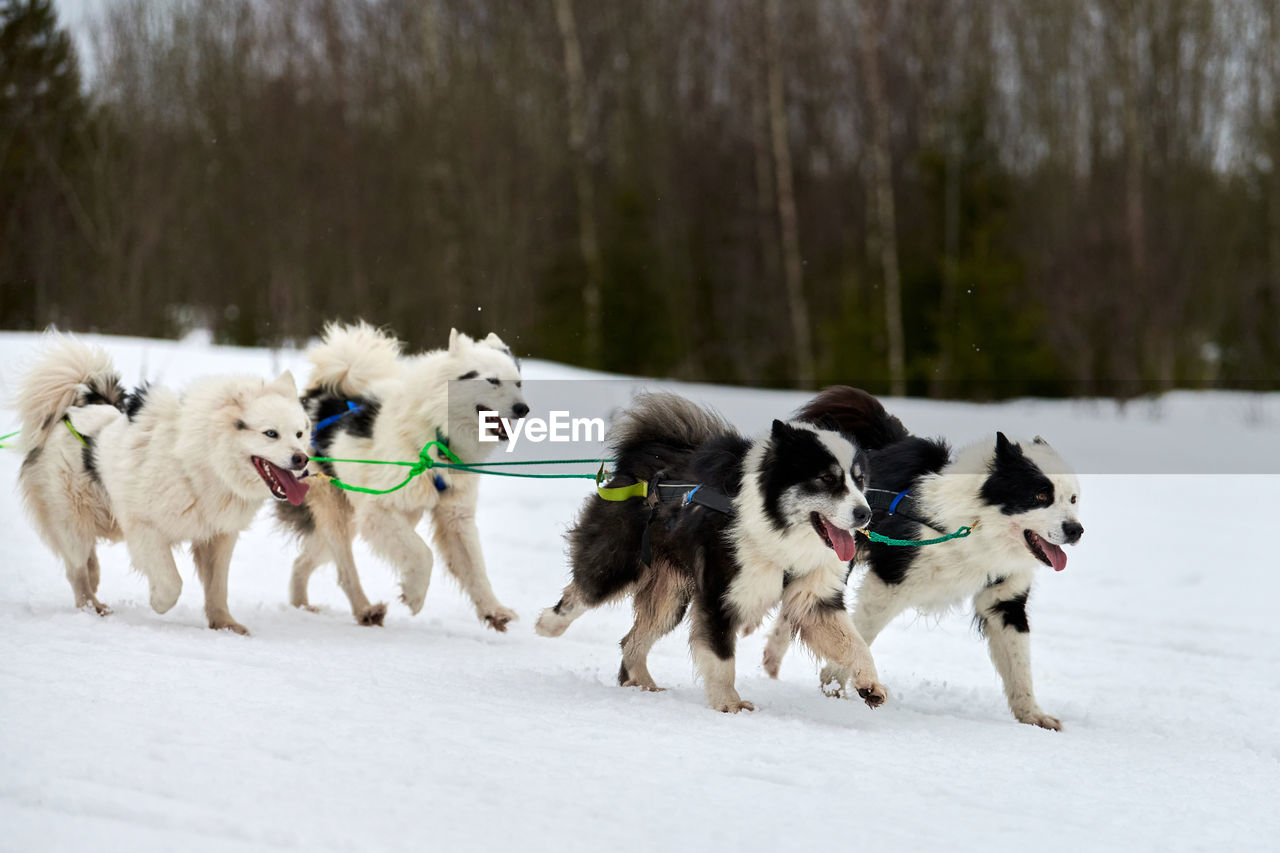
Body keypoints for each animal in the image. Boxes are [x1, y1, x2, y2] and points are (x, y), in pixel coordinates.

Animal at [19, 333, 312, 630]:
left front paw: (224, 624)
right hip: (71, 520)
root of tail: (69, 413)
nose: (302, 459)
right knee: (76, 569)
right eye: (271, 433)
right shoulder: (145, 527)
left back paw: (95, 578)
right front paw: (158, 603)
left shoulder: (218, 537)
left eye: (300, 433)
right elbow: (172, 583)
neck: (202, 465)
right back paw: (92, 606)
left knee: (85, 563)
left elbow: (218, 587)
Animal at [277, 322, 527, 627]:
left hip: (351, 522)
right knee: (346, 571)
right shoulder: (378, 510)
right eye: (492, 380)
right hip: (338, 516)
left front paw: (494, 610)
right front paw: (414, 594)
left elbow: (475, 570)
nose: (523, 409)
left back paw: (301, 605)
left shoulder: (455, 517)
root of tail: (319, 396)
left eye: (518, 382)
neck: (435, 436)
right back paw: (365, 610)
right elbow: (423, 554)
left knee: (302, 561)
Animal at [532, 391, 890, 712]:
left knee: (632, 639)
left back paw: (643, 683)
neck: (775, 527)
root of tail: (645, 453)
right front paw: (728, 703)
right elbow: (721, 658)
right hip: (618, 563)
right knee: (582, 591)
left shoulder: (815, 599)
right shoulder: (721, 594)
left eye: (859, 480)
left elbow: (855, 644)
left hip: (670, 596)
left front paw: (870, 683)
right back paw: (547, 625)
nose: (865, 514)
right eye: (826, 478)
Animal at [762, 384, 1085, 722]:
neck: (978, 527)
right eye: (1040, 495)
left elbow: (1018, 664)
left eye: (1073, 498)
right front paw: (837, 684)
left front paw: (1033, 716)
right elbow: (859, 632)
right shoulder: (889, 579)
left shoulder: (1004, 599)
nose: (1076, 530)